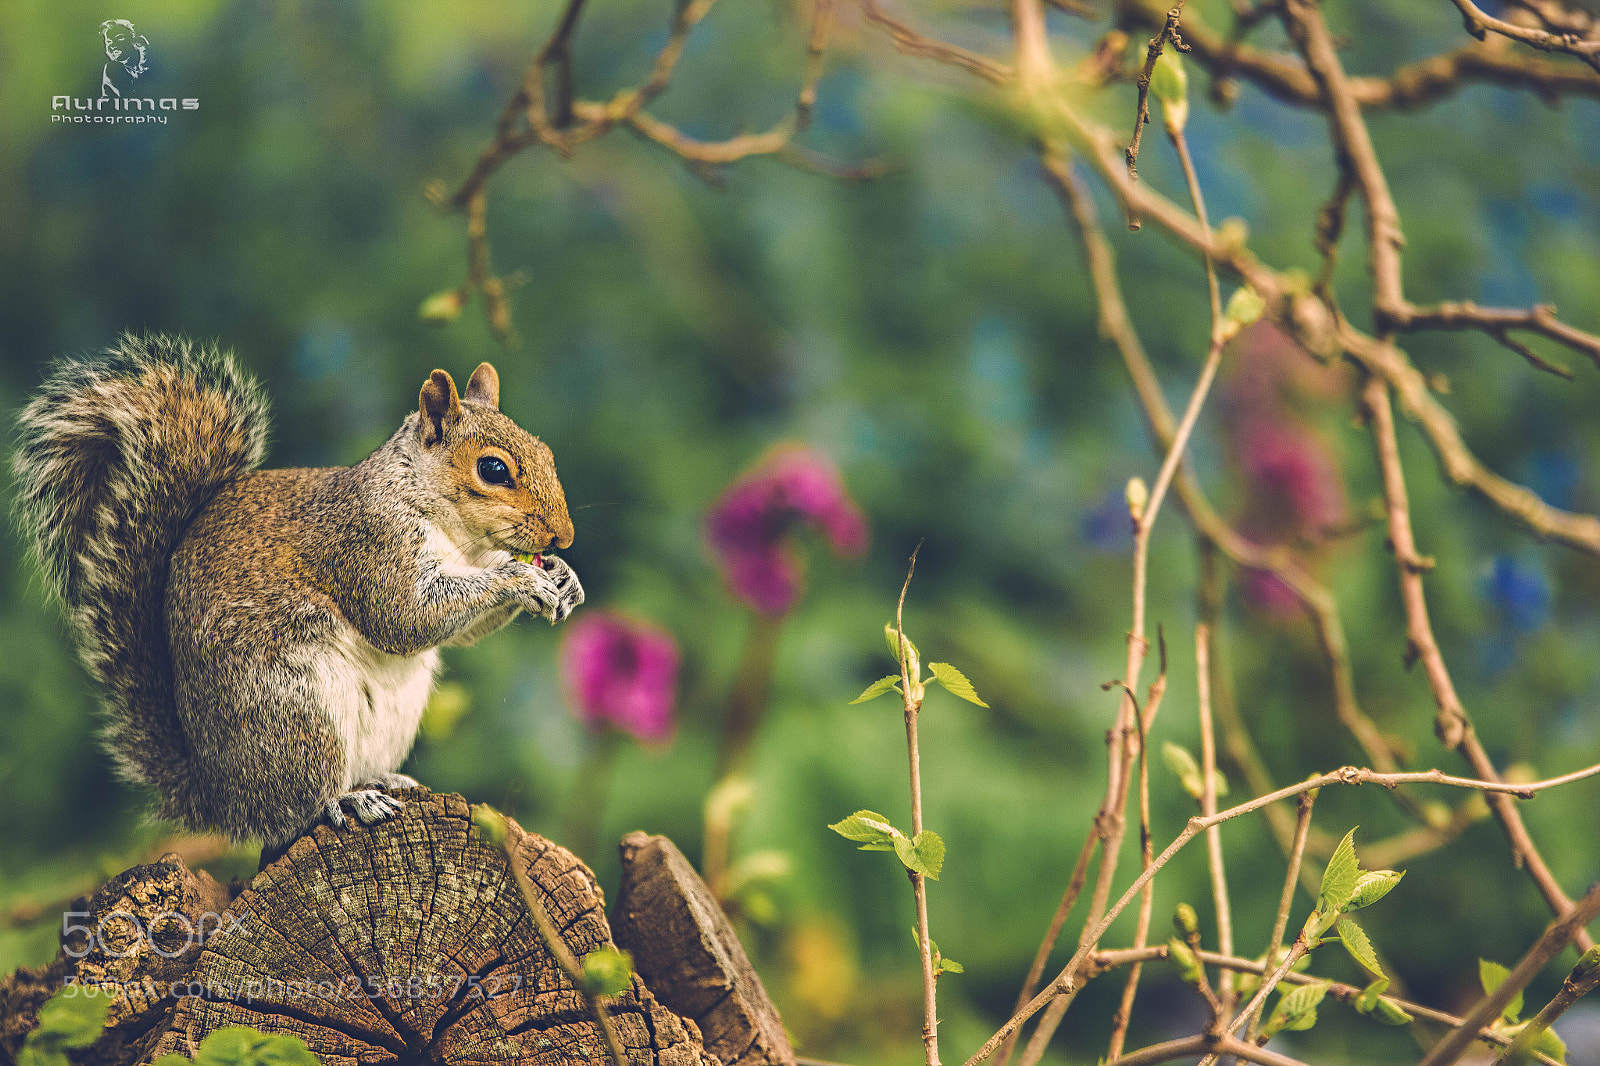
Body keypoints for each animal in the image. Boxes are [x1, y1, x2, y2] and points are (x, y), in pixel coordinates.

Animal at [11, 333, 584, 846]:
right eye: (493, 469)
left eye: (547, 452)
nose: (565, 536)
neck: (454, 533)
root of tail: (221, 799)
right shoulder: (367, 542)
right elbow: (406, 616)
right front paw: (519, 577)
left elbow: (458, 630)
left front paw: (562, 578)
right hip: (296, 716)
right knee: (292, 812)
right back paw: (345, 800)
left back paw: (384, 780)